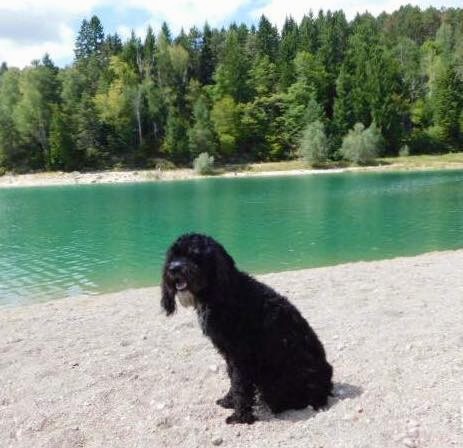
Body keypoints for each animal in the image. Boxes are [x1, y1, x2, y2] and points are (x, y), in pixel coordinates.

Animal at [160, 233, 334, 426]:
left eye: (194, 254)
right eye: (174, 255)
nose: (174, 269)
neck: (222, 292)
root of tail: (327, 382)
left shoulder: (241, 356)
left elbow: (240, 385)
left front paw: (240, 416)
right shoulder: (229, 353)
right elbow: (233, 380)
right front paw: (229, 401)